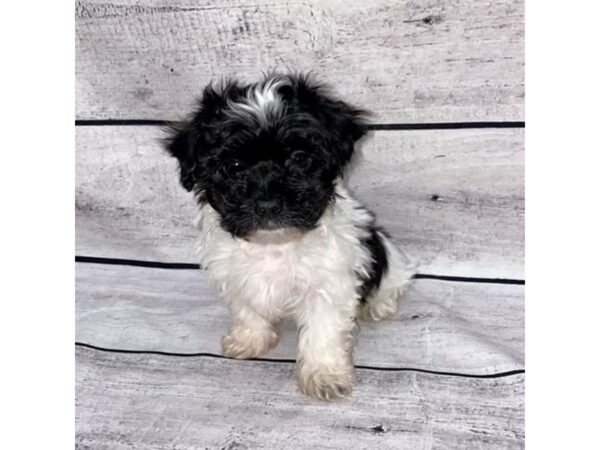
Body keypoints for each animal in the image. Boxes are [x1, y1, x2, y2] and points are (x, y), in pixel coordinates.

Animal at [166, 72, 414, 400]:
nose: (269, 203)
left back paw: (376, 306)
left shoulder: (328, 283)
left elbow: (323, 329)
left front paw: (324, 375)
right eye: (232, 165)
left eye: (299, 158)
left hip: (391, 262)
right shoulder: (235, 275)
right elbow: (246, 309)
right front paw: (249, 340)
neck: (275, 244)